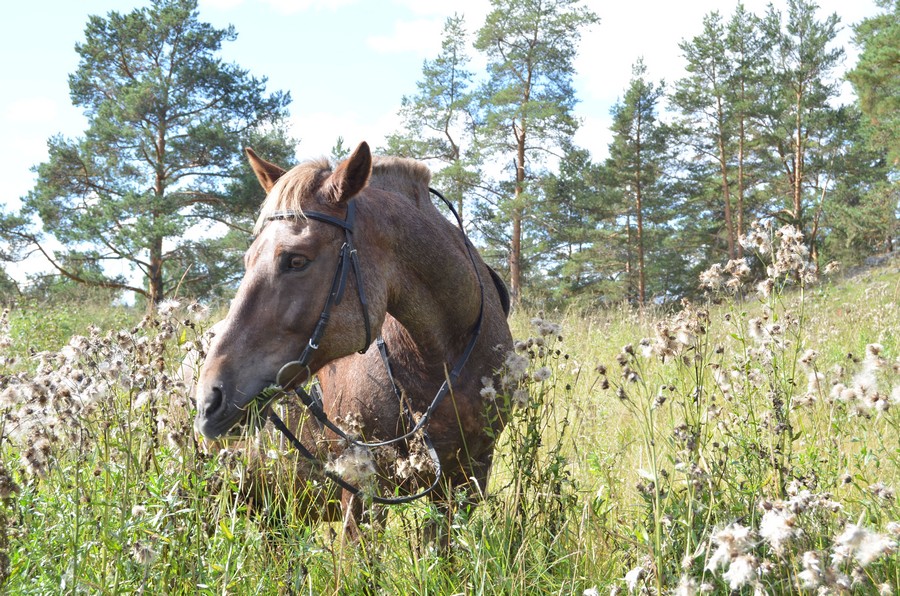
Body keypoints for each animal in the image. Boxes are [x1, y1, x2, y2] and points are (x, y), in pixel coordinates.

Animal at [195, 141, 512, 540]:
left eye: (296, 260)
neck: (442, 359)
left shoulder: (467, 479)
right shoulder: (361, 489)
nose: (209, 399)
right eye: (248, 258)